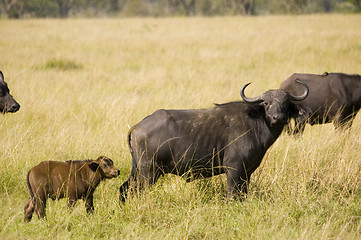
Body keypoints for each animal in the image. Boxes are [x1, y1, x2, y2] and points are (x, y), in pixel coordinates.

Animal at [118, 81, 306, 202]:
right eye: (266, 103)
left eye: (286, 103)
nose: (278, 118)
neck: (255, 123)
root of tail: (137, 126)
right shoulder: (234, 169)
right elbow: (232, 195)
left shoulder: (247, 172)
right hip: (148, 172)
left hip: (138, 170)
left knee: (124, 188)